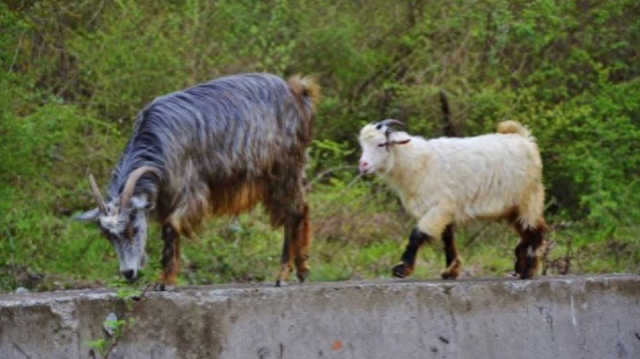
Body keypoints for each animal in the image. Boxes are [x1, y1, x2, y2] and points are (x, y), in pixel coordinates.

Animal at [76, 71, 320, 288]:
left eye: (132, 228)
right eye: (107, 235)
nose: (128, 273)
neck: (159, 142)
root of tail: (296, 92)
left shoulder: (190, 189)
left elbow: (172, 226)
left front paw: (164, 282)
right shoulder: (166, 197)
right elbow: (169, 233)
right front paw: (168, 278)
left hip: (284, 169)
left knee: (292, 212)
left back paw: (283, 274)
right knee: (302, 208)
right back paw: (303, 269)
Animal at [358, 119, 548, 280]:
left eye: (381, 144)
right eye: (363, 145)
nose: (363, 165)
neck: (419, 162)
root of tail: (523, 138)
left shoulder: (439, 207)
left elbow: (417, 235)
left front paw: (402, 269)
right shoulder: (445, 211)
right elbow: (447, 238)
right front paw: (450, 271)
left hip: (528, 198)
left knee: (536, 230)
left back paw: (528, 270)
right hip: (512, 207)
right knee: (526, 232)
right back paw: (520, 264)